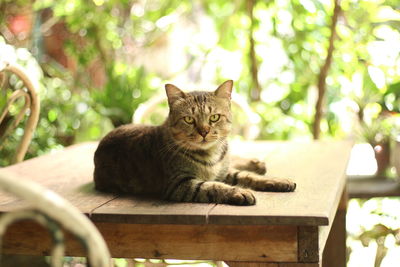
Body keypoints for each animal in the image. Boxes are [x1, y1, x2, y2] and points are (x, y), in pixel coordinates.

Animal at [92, 80, 296, 206]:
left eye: (214, 117)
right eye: (189, 119)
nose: (204, 131)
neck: (212, 156)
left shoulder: (223, 171)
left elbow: (246, 176)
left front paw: (276, 180)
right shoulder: (179, 184)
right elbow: (213, 186)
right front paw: (239, 192)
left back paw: (256, 163)